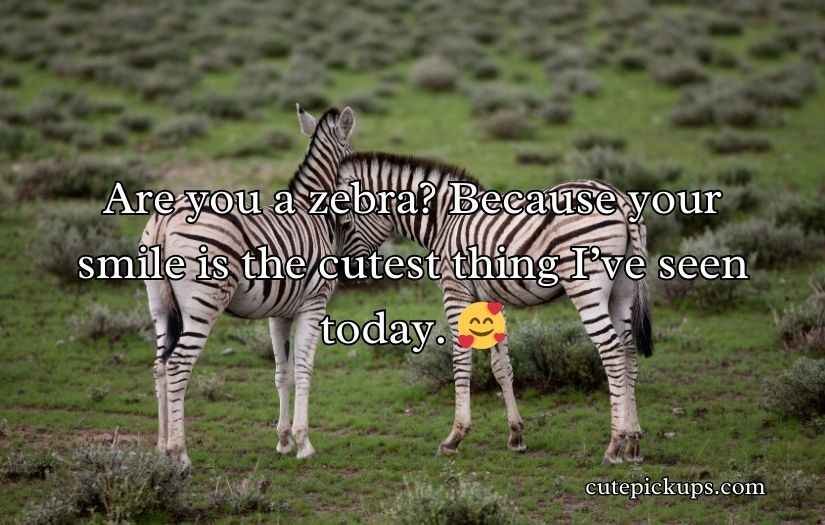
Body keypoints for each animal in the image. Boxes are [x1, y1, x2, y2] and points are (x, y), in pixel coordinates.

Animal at [141, 105, 357, 469]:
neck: (314, 214)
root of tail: (166, 219)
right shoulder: (314, 303)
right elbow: (304, 369)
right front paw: (304, 442)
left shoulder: (280, 312)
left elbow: (282, 372)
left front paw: (283, 440)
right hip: (202, 303)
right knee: (178, 364)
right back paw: (179, 453)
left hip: (159, 305)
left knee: (159, 365)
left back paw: (160, 448)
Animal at [335, 152, 653, 464]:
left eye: (344, 224)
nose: (342, 273)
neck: (444, 221)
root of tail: (620, 197)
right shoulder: (490, 300)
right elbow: (502, 366)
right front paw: (516, 435)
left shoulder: (456, 291)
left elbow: (461, 360)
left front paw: (455, 436)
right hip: (623, 291)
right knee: (629, 351)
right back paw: (633, 442)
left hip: (586, 285)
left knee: (612, 351)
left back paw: (614, 445)